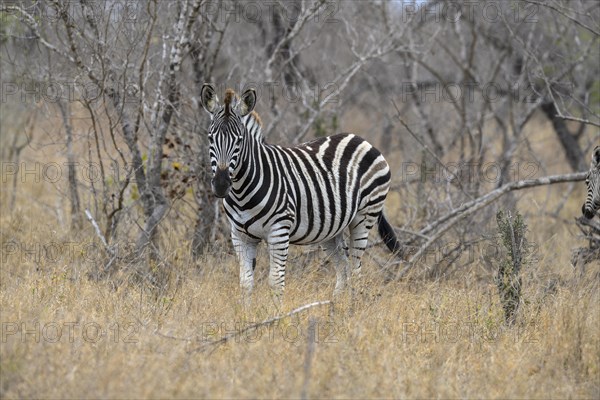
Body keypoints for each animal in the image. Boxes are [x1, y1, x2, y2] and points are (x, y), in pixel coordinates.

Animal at [199, 85, 400, 300]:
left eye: (239, 140)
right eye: (210, 138)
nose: (221, 184)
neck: (241, 193)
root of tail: (359, 138)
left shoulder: (279, 231)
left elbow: (275, 283)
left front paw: (276, 310)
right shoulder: (240, 236)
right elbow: (245, 284)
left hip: (364, 216)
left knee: (356, 271)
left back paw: (351, 307)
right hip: (331, 229)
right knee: (343, 269)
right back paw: (335, 307)